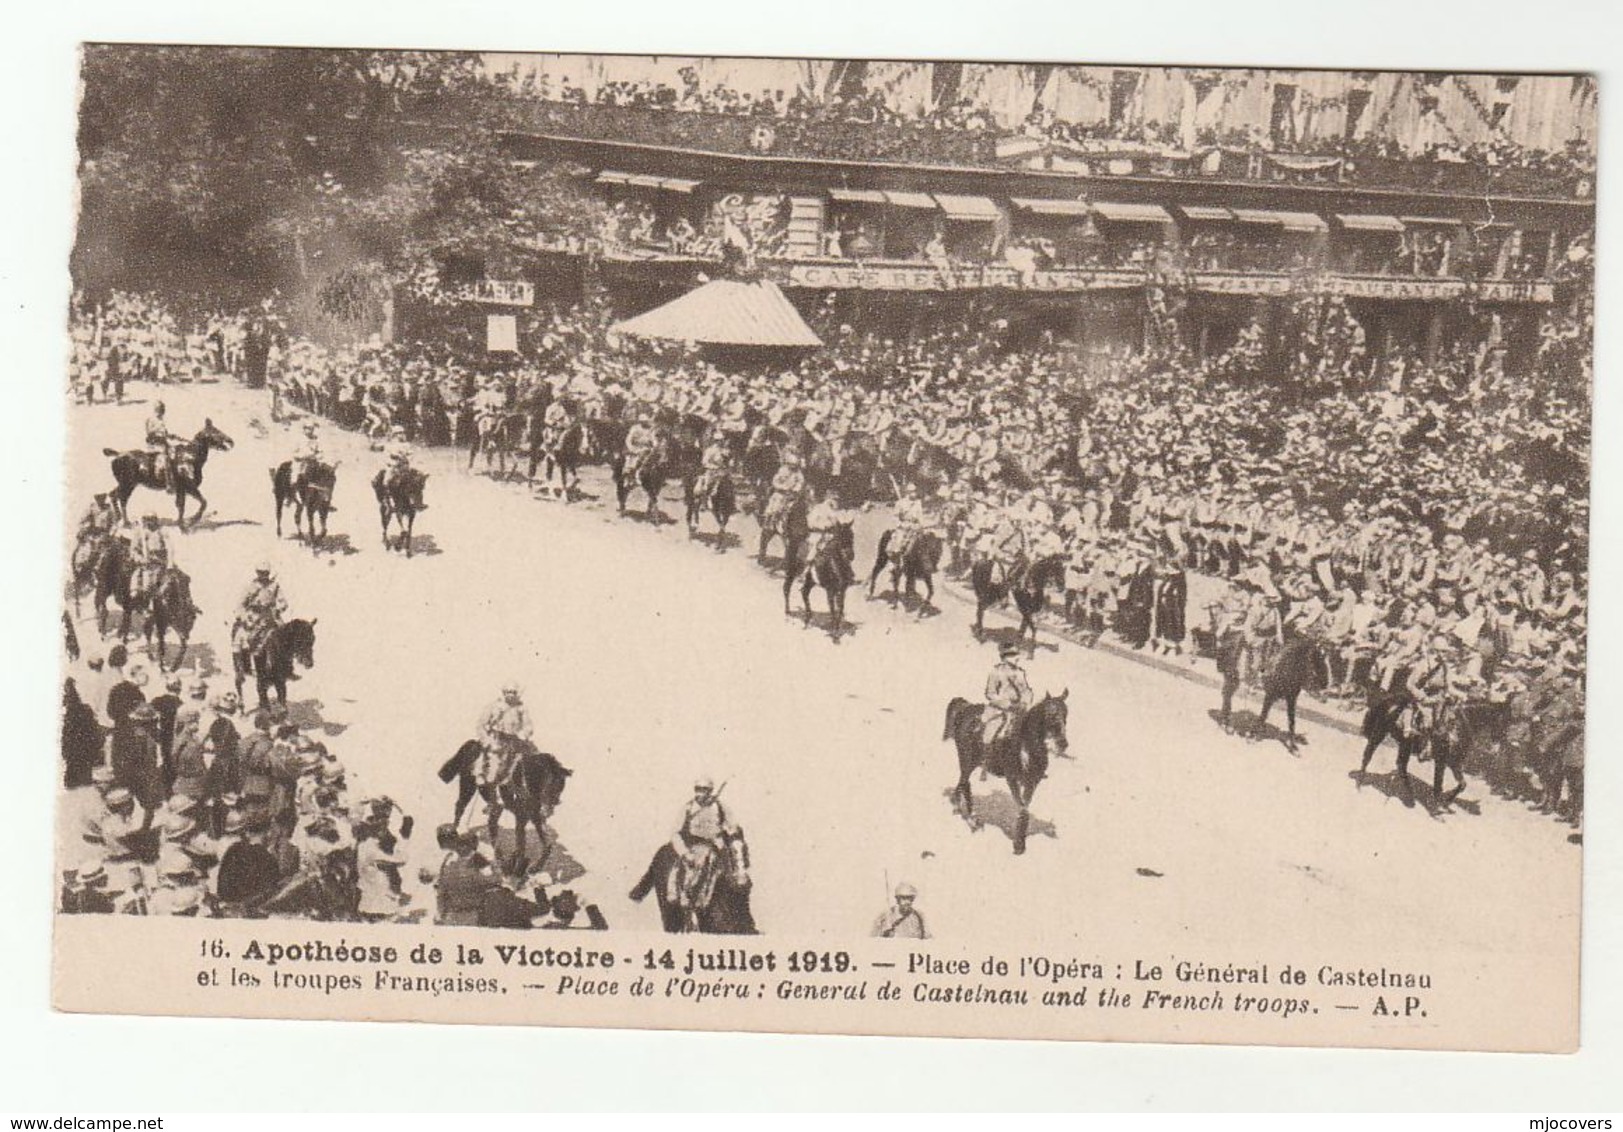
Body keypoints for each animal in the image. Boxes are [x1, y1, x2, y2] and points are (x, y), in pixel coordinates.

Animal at [103, 419, 233, 529]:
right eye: (215, 432)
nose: (231, 441)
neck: (190, 457)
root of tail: (118, 454)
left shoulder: (184, 490)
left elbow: (186, 505)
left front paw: (183, 523)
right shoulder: (189, 488)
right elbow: (197, 503)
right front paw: (190, 522)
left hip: (127, 485)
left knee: (115, 495)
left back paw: (121, 519)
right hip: (127, 485)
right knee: (121, 499)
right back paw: (125, 522)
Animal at [438, 740, 577, 877]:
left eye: (560, 786)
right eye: (545, 782)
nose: (552, 806)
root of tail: (473, 742)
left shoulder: (535, 818)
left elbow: (545, 843)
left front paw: (535, 867)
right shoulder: (522, 818)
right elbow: (521, 845)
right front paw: (517, 869)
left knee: (491, 821)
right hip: (467, 787)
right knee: (460, 807)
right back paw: (455, 832)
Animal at [947, 688, 1071, 857]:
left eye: (1066, 714)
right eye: (1049, 714)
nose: (1062, 744)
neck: (1025, 744)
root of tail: (967, 708)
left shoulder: (1032, 782)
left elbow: (1025, 806)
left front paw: (1021, 840)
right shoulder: (1012, 779)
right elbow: (1022, 807)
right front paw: (1018, 844)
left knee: (964, 784)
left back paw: (966, 813)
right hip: (966, 761)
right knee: (964, 783)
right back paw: (969, 818)